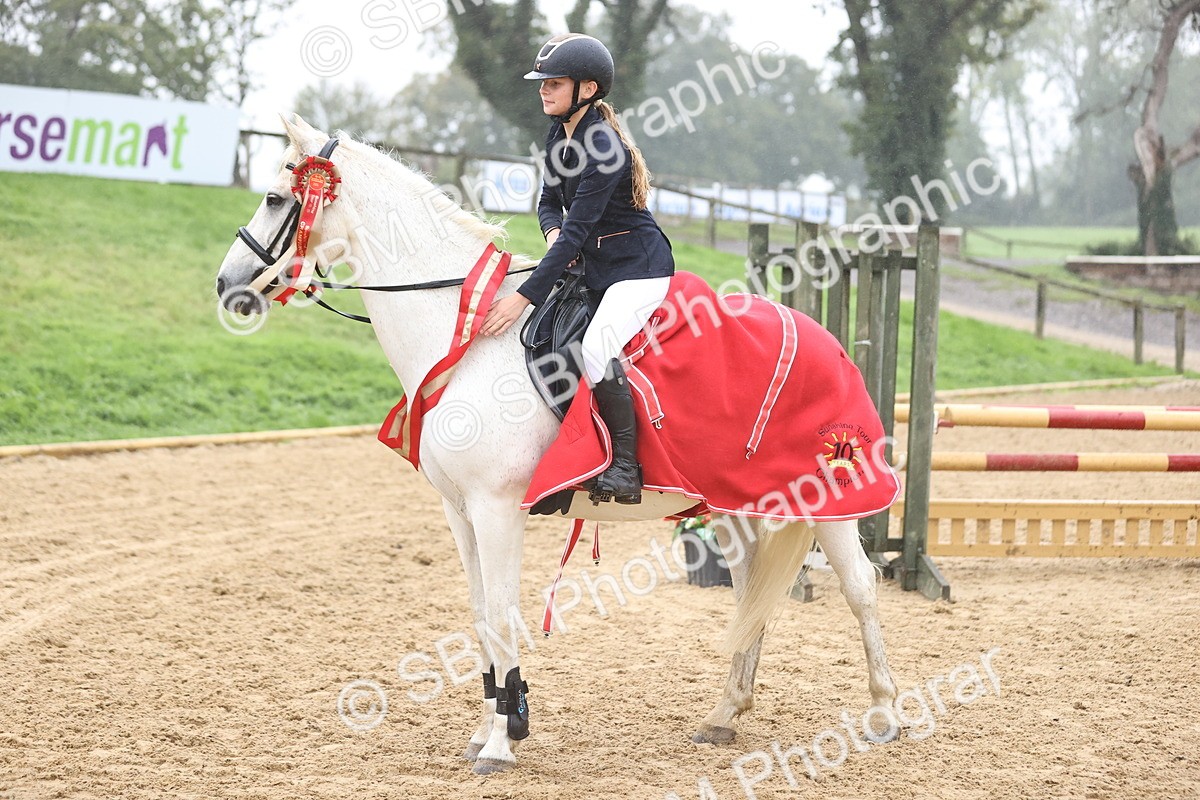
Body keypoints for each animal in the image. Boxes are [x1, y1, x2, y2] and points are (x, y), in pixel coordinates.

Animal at [214, 115, 899, 775]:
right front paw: (490, 725)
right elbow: (480, 613)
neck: (467, 333)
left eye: (275, 198)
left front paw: (501, 741)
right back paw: (725, 715)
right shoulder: (459, 511)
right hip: (734, 505)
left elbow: (501, 613)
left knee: (861, 586)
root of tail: (827, 339)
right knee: (752, 589)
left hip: (825, 498)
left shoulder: (497, 507)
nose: (228, 285)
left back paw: (885, 713)